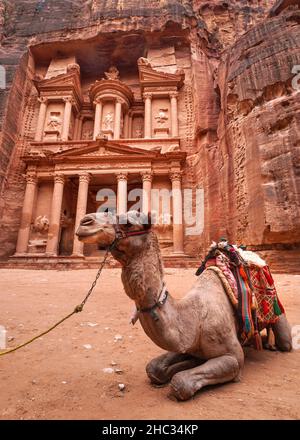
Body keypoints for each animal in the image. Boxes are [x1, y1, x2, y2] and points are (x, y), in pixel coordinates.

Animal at [75, 211, 292, 400]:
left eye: (129, 223)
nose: (85, 222)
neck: (194, 317)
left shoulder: (233, 357)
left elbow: (180, 382)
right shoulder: (186, 343)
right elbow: (154, 368)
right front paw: (177, 366)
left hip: (278, 314)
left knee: (285, 341)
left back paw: (269, 343)